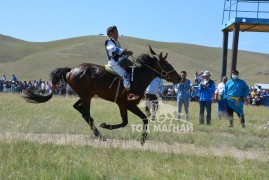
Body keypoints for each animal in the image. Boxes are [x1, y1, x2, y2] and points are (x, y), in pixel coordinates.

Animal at [24, 45, 181, 145]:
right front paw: (141, 139)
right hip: (86, 96)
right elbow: (141, 119)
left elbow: (127, 121)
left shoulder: (124, 105)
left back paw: (97, 132)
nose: (179, 78)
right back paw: (99, 135)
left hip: (86, 95)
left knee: (79, 109)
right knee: (85, 113)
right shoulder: (126, 103)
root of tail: (71, 70)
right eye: (167, 65)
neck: (137, 78)